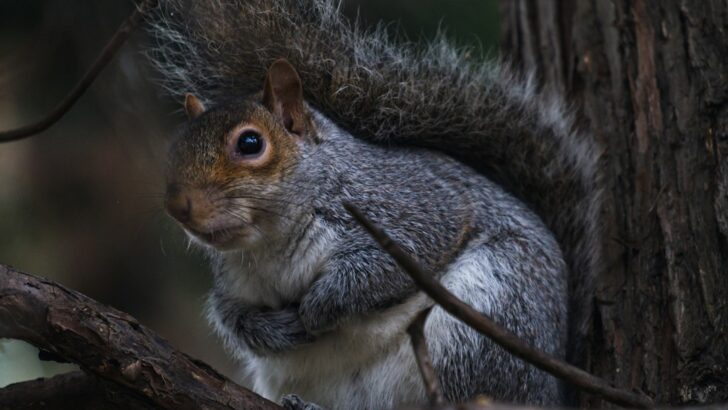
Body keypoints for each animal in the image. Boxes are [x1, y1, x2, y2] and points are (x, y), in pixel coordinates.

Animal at [152, 1, 601, 409]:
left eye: (250, 143)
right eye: (175, 148)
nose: (177, 206)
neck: (271, 242)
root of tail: (553, 392)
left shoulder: (412, 206)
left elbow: (386, 266)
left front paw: (319, 307)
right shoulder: (233, 282)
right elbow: (233, 318)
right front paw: (279, 329)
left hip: (485, 322)